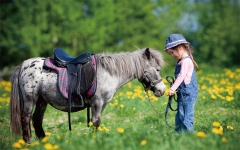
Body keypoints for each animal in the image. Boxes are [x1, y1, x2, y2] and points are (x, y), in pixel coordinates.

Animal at [10, 47, 166, 143]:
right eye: (157, 69)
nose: (162, 90)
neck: (108, 72)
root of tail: (23, 65)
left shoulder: (102, 104)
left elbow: (94, 122)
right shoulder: (97, 102)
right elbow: (96, 122)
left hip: (42, 101)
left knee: (37, 119)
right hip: (30, 99)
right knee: (26, 118)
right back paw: (29, 142)